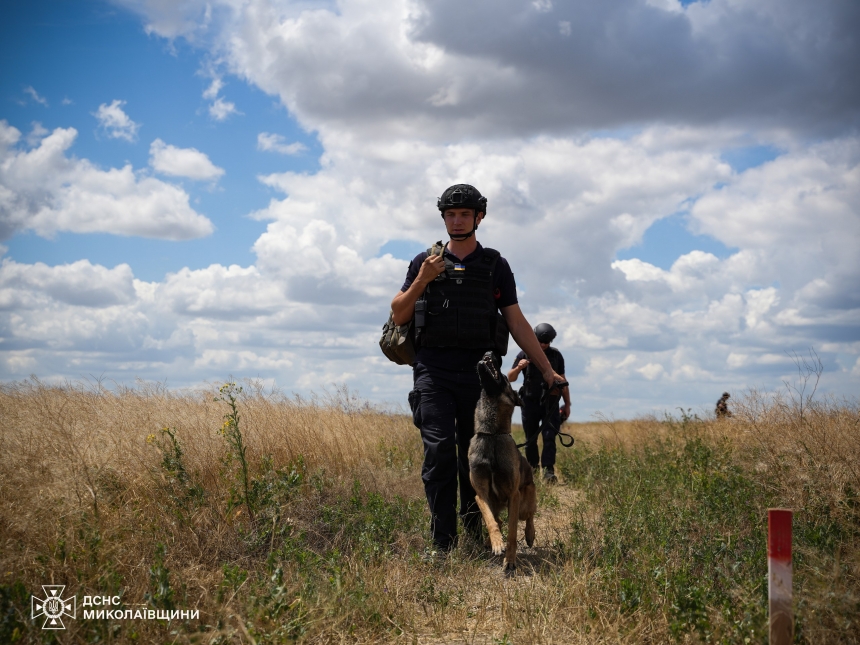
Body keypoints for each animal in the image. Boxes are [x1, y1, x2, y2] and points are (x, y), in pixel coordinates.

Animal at [466, 352, 536, 568]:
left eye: (504, 377)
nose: (489, 353)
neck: (492, 435)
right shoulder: (480, 495)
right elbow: (490, 521)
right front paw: (497, 543)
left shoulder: (514, 495)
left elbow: (512, 533)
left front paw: (510, 560)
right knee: (499, 519)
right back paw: (490, 542)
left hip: (525, 502)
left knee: (529, 516)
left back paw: (530, 535)